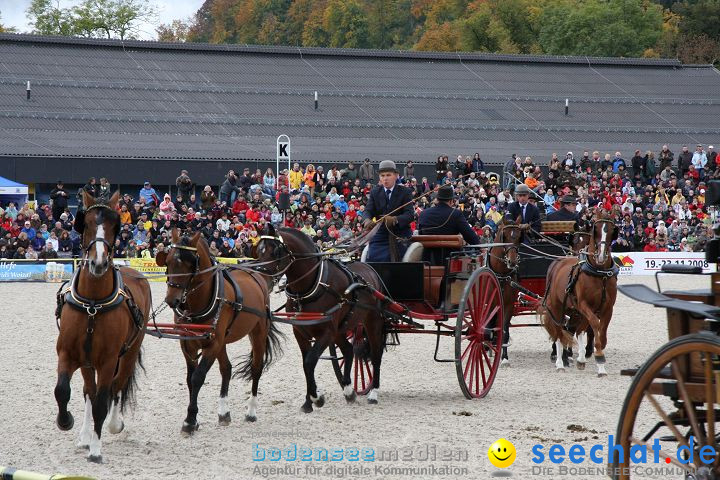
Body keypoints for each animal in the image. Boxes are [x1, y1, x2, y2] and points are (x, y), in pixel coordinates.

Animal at [56, 190, 152, 462]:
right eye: (86, 224)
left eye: (113, 226)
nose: (98, 263)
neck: (92, 304)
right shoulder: (68, 354)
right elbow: (63, 391)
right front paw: (67, 422)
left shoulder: (108, 360)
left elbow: (102, 401)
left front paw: (96, 450)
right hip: (87, 362)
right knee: (89, 390)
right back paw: (84, 436)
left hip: (128, 353)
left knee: (116, 386)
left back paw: (113, 425)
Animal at [155, 230, 282, 436]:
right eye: (168, 261)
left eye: (190, 264)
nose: (172, 300)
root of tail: (257, 275)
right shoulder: (188, 344)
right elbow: (190, 379)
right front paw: (195, 418)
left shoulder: (212, 344)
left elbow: (198, 377)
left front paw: (190, 420)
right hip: (223, 340)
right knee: (226, 369)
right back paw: (224, 412)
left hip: (258, 332)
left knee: (256, 368)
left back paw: (251, 411)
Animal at [253, 225, 388, 408]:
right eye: (258, 251)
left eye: (275, 251)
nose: (261, 277)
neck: (312, 287)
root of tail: (370, 269)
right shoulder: (300, 332)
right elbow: (305, 363)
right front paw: (309, 399)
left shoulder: (326, 332)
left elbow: (310, 361)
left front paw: (316, 398)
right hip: (341, 329)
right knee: (348, 350)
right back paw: (348, 390)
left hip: (372, 321)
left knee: (375, 355)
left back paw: (373, 392)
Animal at [540, 210, 620, 376]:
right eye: (596, 230)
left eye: (612, 231)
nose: (601, 256)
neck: (600, 273)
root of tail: (557, 263)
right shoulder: (584, 305)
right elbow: (595, 324)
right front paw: (599, 357)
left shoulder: (608, 308)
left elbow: (601, 333)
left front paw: (598, 363)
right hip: (557, 307)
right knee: (559, 331)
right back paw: (560, 362)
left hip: (573, 310)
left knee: (574, 330)